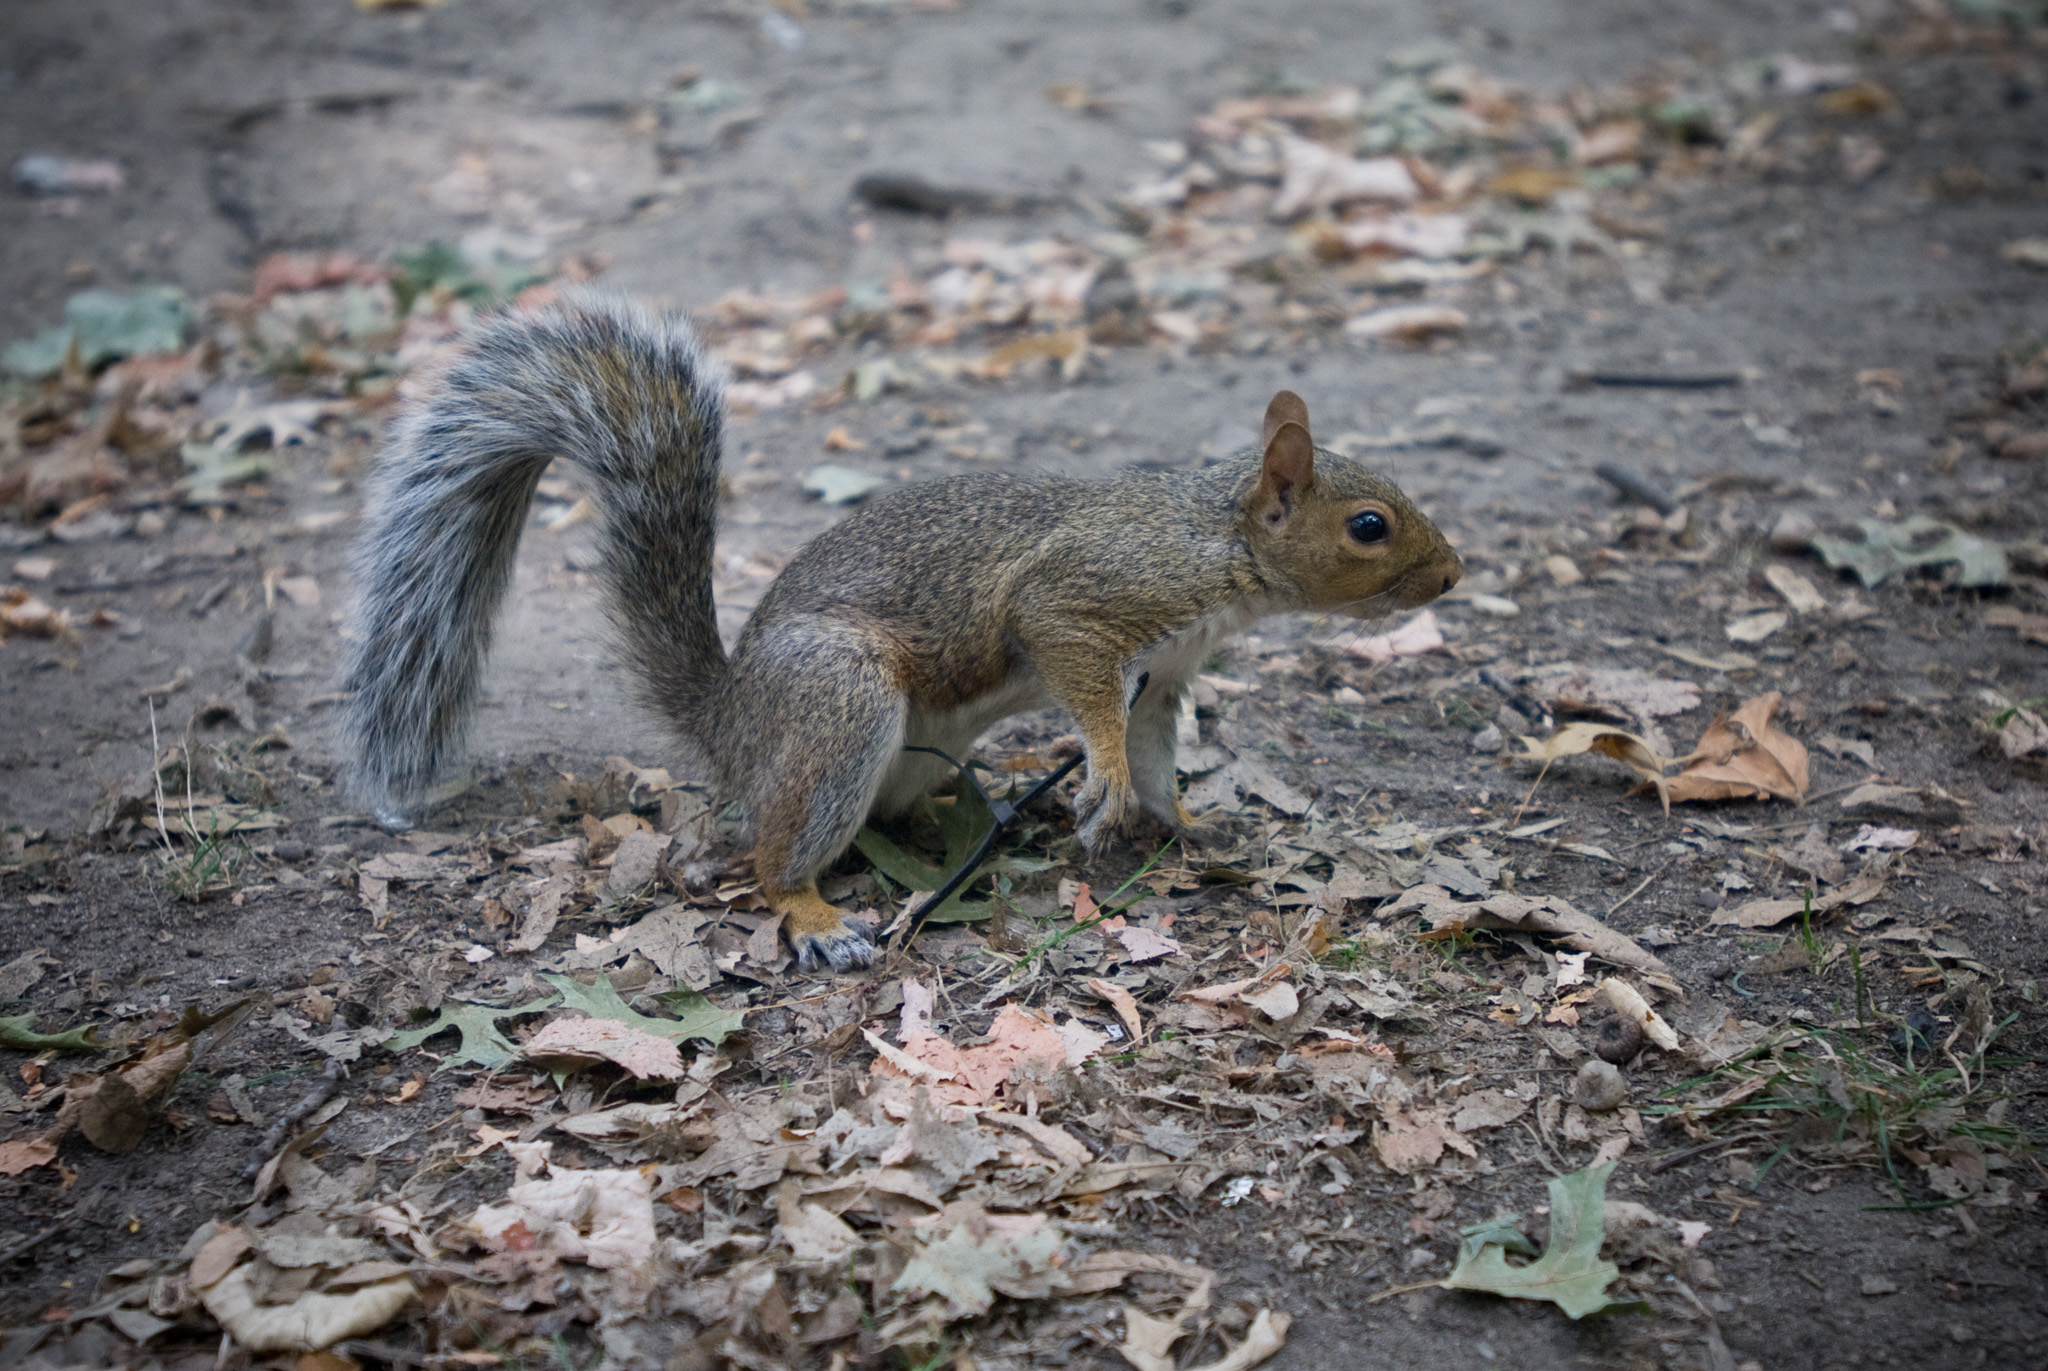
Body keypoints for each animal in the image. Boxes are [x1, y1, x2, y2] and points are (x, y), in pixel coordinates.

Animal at [339, 294, 1463, 972]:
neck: (1214, 545)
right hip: (839, 699)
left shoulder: (1167, 674)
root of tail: (731, 722)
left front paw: (1184, 825)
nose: (1452, 575)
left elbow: (1154, 757)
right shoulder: (1084, 599)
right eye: (1368, 526)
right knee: (769, 855)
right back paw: (814, 914)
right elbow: (1084, 689)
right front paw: (1097, 780)